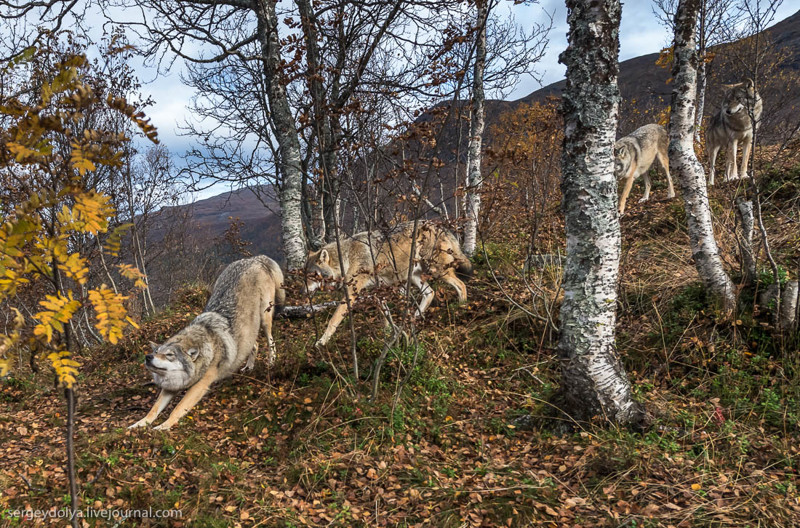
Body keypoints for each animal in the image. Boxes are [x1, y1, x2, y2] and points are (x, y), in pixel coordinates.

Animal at [128, 254, 284, 432]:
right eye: (156, 352)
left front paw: (163, 427)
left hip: (265, 318)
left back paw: (271, 362)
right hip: (249, 331)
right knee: (255, 345)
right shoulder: (169, 388)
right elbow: (153, 410)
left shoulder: (199, 386)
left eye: (169, 355)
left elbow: (177, 409)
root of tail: (255, 259)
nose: (148, 357)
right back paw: (248, 367)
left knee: (270, 341)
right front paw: (138, 424)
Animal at [304, 221, 472, 348]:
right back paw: (414, 318)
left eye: (312, 276)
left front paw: (321, 342)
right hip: (414, 276)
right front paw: (391, 335)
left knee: (461, 285)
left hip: (436, 271)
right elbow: (385, 318)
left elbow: (333, 320)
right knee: (430, 293)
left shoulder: (350, 294)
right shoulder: (378, 292)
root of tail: (440, 226)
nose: (302, 291)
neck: (346, 259)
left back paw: (461, 308)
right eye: (304, 277)